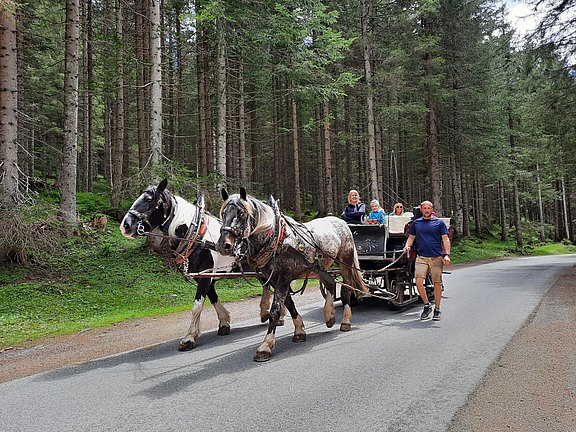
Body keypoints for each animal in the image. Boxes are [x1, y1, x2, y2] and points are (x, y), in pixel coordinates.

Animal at [120, 179, 282, 352]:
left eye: (149, 200)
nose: (125, 226)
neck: (197, 236)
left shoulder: (205, 275)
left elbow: (197, 306)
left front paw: (189, 337)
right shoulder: (204, 275)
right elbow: (213, 298)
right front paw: (224, 322)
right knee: (266, 285)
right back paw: (266, 312)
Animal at [216, 188, 368, 362]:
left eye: (241, 213)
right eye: (223, 213)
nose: (224, 245)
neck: (277, 240)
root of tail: (341, 221)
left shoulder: (283, 278)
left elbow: (275, 310)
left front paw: (265, 346)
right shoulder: (276, 280)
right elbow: (289, 305)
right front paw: (299, 330)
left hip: (345, 262)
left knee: (346, 289)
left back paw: (345, 321)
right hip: (320, 267)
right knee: (330, 283)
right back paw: (329, 316)